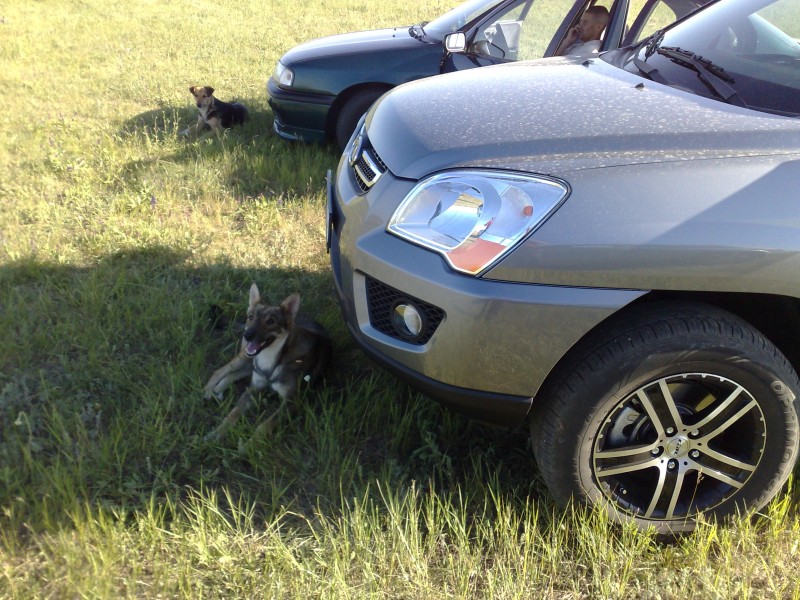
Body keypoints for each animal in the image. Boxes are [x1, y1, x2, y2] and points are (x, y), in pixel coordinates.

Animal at [204, 283, 331, 445]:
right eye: (251, 317)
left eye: (270, 322)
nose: (247, 335)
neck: (272, 359)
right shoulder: (254, 388)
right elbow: (233, 413)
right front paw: (217, 432)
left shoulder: (292, 401)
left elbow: (264, 425)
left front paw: (249, 445)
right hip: (245, 357)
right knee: (221, 370)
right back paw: (208, 390)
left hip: (250, 363)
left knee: (234, 373)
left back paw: (218, 389)